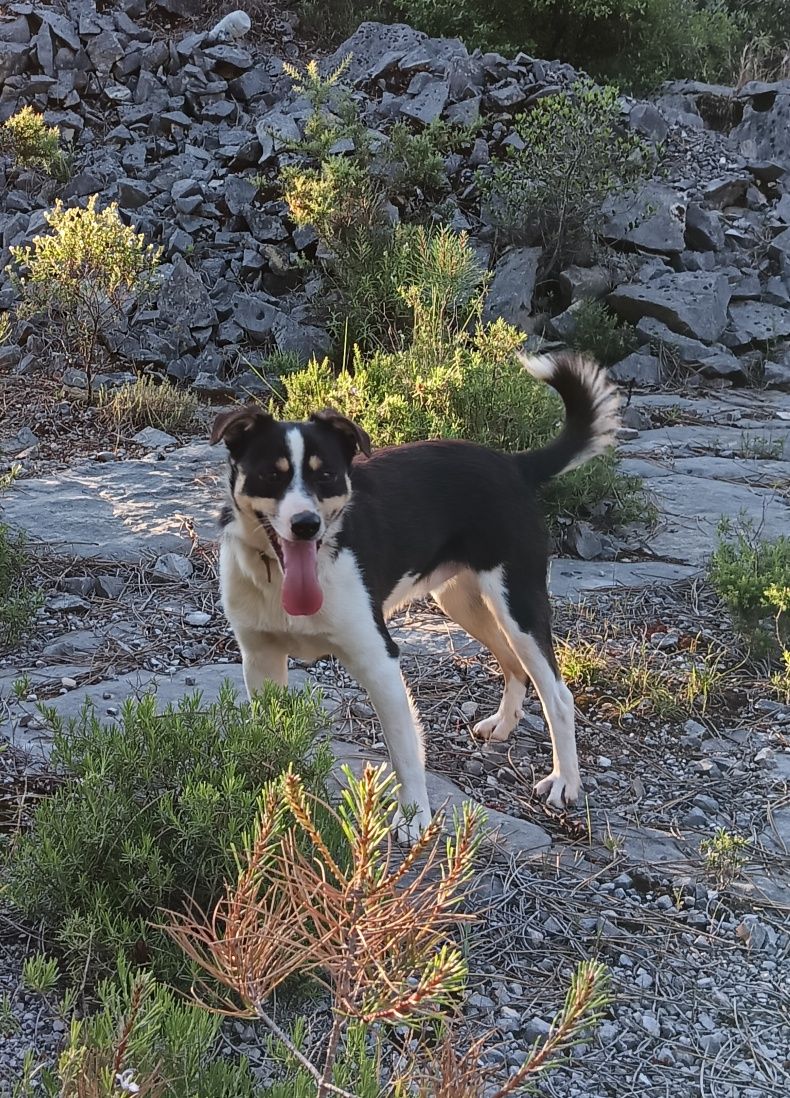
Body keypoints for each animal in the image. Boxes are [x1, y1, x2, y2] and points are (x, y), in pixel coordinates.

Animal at [213, 351, 619, 830]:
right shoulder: (261, 660)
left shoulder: (380, 661)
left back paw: (564, 782)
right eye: (269, 476)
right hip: (461, 600)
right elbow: (272, 736)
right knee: (512, 663)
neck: (282, 578)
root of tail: (513, 464)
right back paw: (503, 724)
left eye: (326, 475)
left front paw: (414, 819)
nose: (306, 525)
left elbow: (406, 753)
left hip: (516, 601)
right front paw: (276, 799)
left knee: (557, 693)